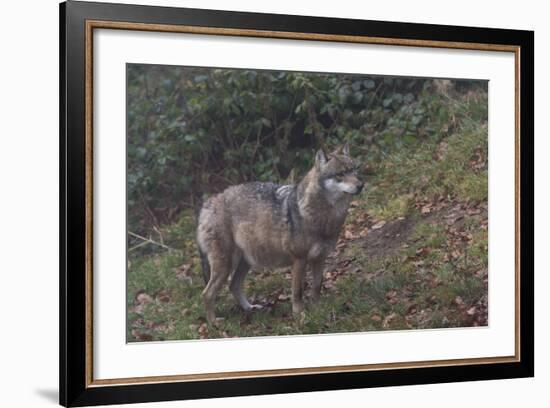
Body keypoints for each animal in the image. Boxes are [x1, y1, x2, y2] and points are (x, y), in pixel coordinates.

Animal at [196, 143, 364, 326]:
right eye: (340, 174)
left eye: (355, 169)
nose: (361, 185)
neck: (321, 217)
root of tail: (207, 204)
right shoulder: (299, 260)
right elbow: (297, 292)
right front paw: (300, 316)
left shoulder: (320, 258)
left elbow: (317, 286)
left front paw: (318, 309)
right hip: (225, 265)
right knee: (207, 293)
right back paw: (214, 323)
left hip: (246, 262)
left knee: (233, 286)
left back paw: (250, 308)